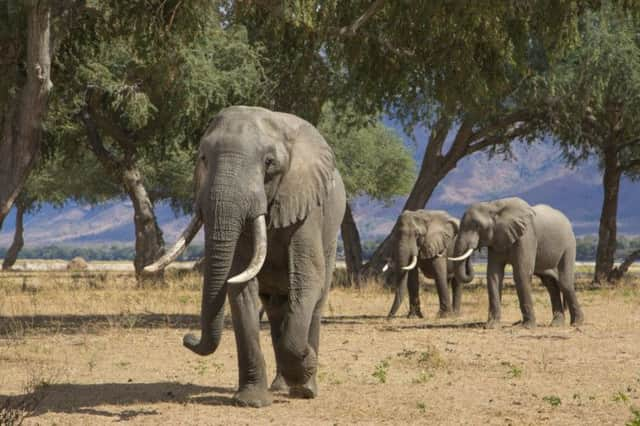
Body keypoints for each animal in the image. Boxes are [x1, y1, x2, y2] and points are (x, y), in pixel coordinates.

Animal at [145, 105, 344, 406]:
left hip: (331, 231)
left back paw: (305, 389)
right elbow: (240, 286)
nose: (187, 338)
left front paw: (306, 367)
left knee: (314, 301)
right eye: (203, 158)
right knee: (276, 307)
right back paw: (281, 386)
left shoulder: (308, 207)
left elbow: (307, 278)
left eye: (269, 163)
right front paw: (251, 401)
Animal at [450, 197, 584, 330]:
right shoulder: (496, 239)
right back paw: (556, 324)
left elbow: (521, 273)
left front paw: (527, 327)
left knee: (564, 282)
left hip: (569, 245)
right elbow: (494, 275)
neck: (493, 206)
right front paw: (491, 326)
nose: (475, 249)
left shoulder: (526, 236)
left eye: (477, 226)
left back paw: (576, 323)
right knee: (550, 285)